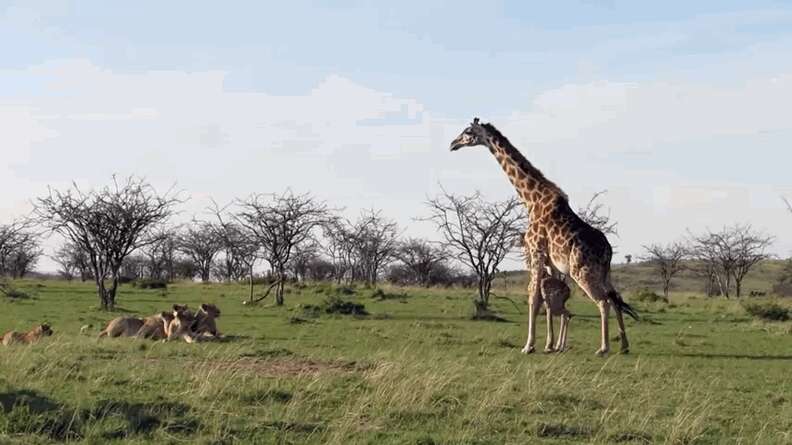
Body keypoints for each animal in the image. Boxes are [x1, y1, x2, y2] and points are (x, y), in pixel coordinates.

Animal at [448, 117, 640, 354]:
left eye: (467, 131)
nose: (453, 144)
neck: (531, 200)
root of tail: (608, 251)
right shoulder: (551, 261)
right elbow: (547, 299)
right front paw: (551, 345)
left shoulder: (535, 251)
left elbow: (534, 297)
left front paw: (529, 346)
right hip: (604, 273)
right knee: (615, 298)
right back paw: (624, 345)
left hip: (581, 270)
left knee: (603, 301)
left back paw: (603, 348)